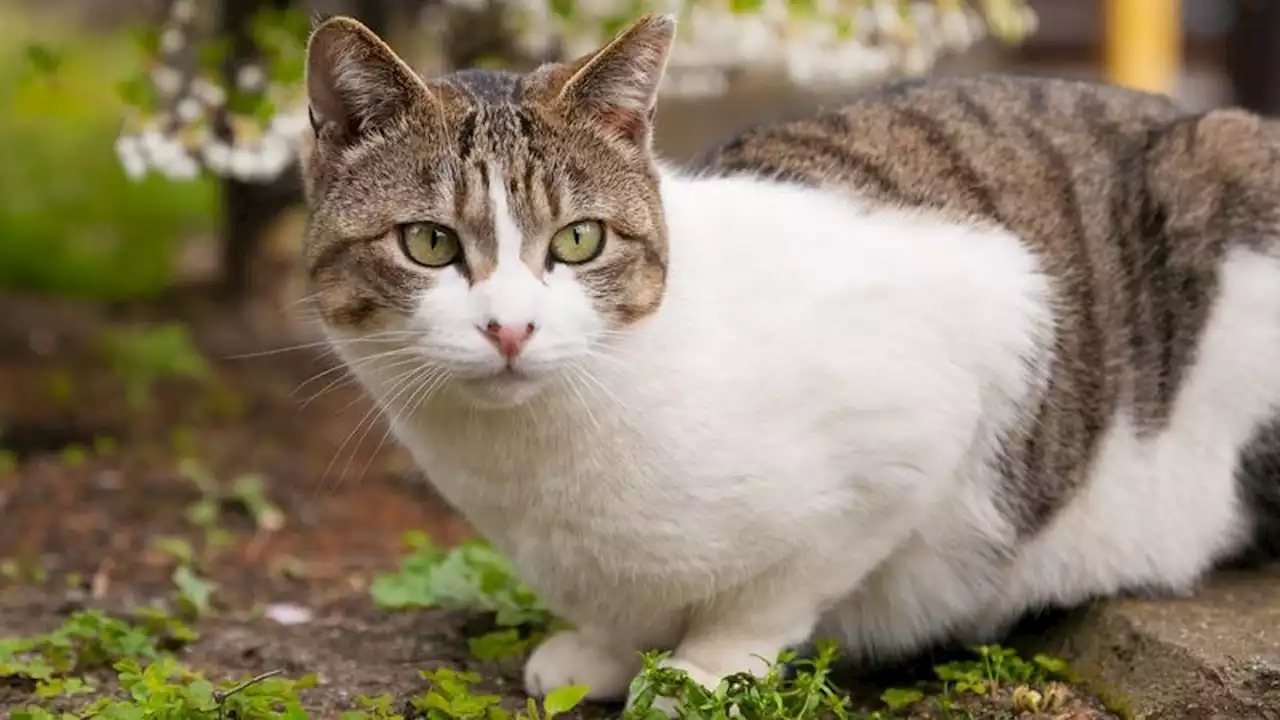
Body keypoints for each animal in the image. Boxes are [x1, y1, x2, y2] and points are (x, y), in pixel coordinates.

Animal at [294, 8, 1280, 707]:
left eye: (578, 239)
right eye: (428, 242)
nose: (510, 329)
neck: (536, 465)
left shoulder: (947, 379)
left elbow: (780, 588)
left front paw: (703, 670)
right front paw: (605, 650)